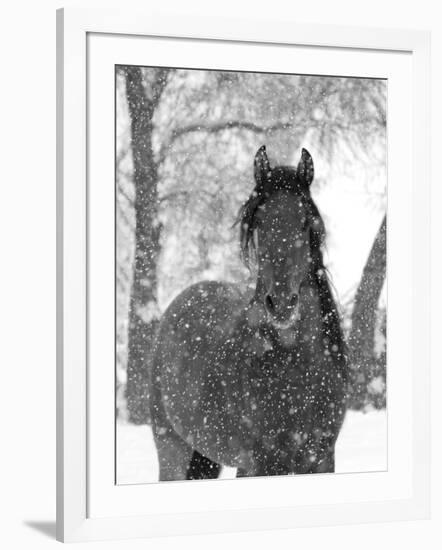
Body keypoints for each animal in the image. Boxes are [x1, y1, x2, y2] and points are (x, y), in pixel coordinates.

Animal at [148, 144, 348, 480]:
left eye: (305, 222)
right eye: (260, 224)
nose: (281, 304)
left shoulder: (322, 461)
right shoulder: (260, 464)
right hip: (172, 449)